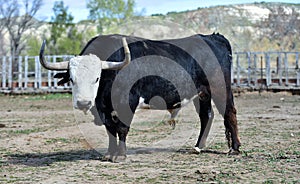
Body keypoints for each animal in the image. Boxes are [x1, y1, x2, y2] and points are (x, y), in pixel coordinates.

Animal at [39, 33, 241, 162]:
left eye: (96, 78)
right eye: (72, 79)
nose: (83, 102)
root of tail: (212, 37)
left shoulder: (127, 103)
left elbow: (122, 128)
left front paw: (120, 155)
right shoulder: (103, 108)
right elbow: (110, 129)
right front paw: (110, 153)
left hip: (220, 87)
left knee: (229, 112)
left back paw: (235, 149)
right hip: (202, 94)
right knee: (207, 116)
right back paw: (199, 146)